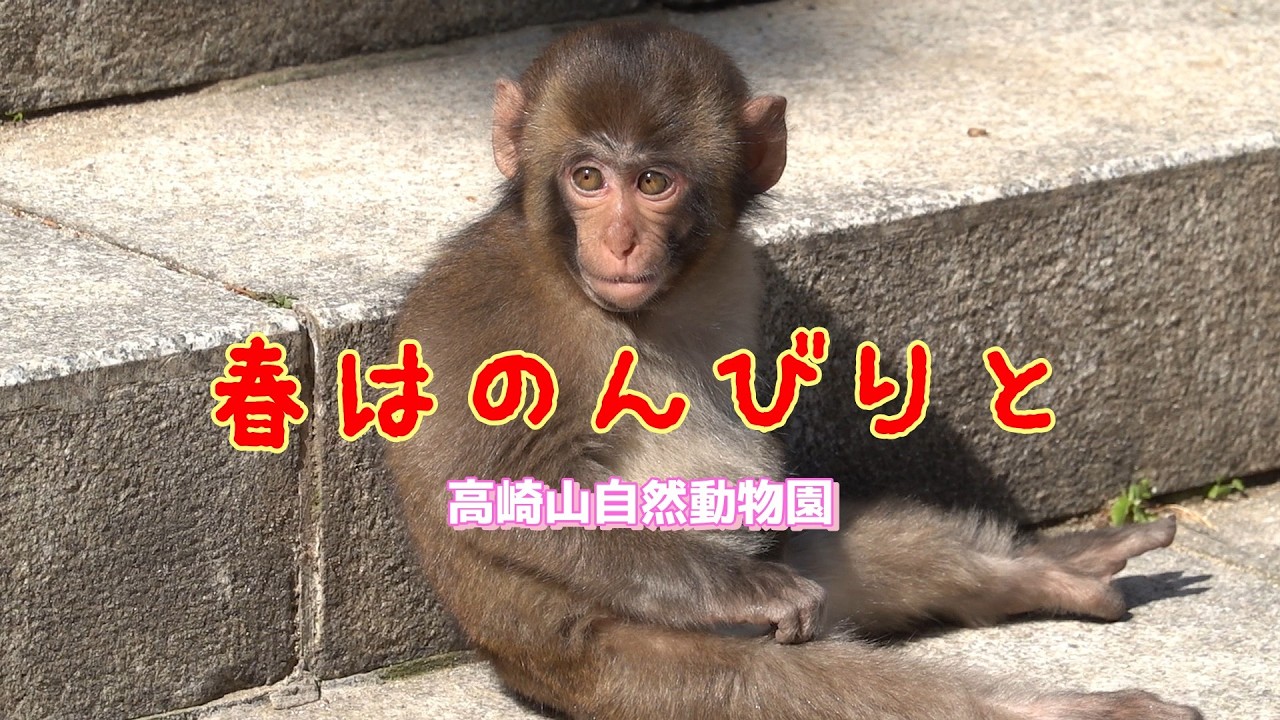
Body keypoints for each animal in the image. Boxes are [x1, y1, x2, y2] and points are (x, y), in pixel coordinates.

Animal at [388, 21, 1202, 720]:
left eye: (653, 183)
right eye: (588, 177)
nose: (618, 241)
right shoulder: (491, 310)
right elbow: (498, 500)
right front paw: (745, 585)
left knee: (844, 547)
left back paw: (1055, 571)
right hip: (630, 668)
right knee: (794, 683)